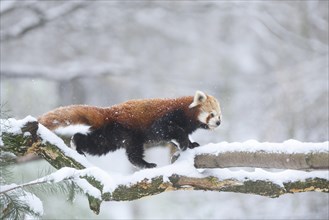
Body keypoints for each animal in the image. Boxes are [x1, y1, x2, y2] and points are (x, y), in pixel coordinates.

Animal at [38, 90, 220, 168]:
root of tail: (110, 111)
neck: (186, 114)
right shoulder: (167, 116)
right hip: (128, 131)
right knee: (133, 152)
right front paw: (183, 142)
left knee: (97, 144)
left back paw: (76, 144)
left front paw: (191, 143)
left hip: (110, 137)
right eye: (212, 114)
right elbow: (166, 130)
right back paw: (145, 164)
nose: (218, 122)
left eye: (220, 115)